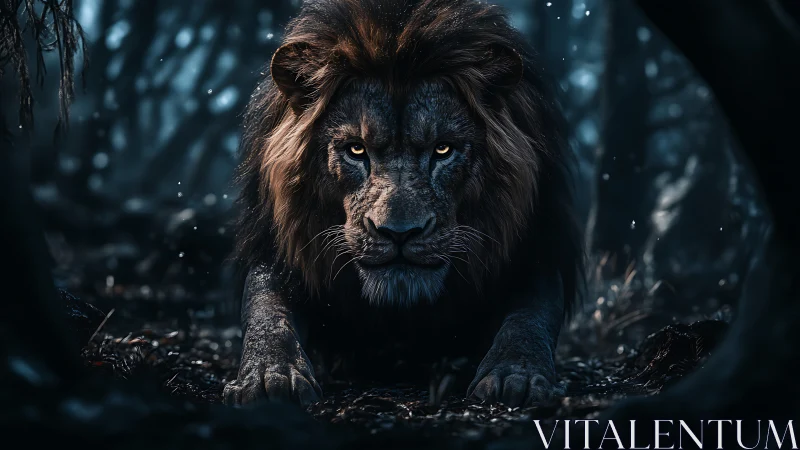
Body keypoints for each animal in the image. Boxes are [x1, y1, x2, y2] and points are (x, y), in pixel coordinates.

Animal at [222, 0, 584, 408]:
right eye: (356, 150)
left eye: (442, 149)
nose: (399, 233)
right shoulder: (277, 254)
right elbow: (266, 310)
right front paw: (269, 376)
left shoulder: (537, 252)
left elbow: (529, 317)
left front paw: (516, 374)